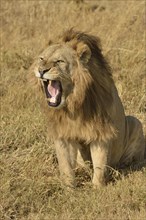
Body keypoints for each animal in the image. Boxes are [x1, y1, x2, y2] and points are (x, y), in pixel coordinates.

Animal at [32, 28, 145, 187]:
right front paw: (69, 189)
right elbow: (65, 166)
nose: (41, 70)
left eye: (59, 61)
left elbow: (100, 164)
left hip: (135, 122)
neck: (73, 104)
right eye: (41, 59)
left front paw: (97, 188)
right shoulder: (63, 133)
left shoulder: (100, 132)